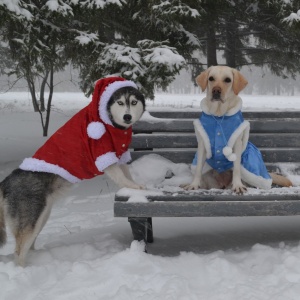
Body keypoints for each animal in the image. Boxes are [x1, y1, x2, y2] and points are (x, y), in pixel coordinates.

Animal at [0, 76, 145, 266]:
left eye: (134, 102)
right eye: (120, 102)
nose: (127, 116)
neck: (110, 124)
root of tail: (7, 181)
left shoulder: (120, 155)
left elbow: (127, 174)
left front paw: (134, 185)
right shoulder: (103, 154)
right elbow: (122, 177)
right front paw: (137, 188)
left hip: (42, 217)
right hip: (31, 220)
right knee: (19, 252)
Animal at [184, 65, 292, 195]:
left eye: (227, 80)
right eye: (211, 78)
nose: (216, 91)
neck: (219, 115)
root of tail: (223, 184)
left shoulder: (236, 144)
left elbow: (236, 169)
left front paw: (237, 186)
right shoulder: (203, 144)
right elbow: (199, 167)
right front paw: (193, 185)